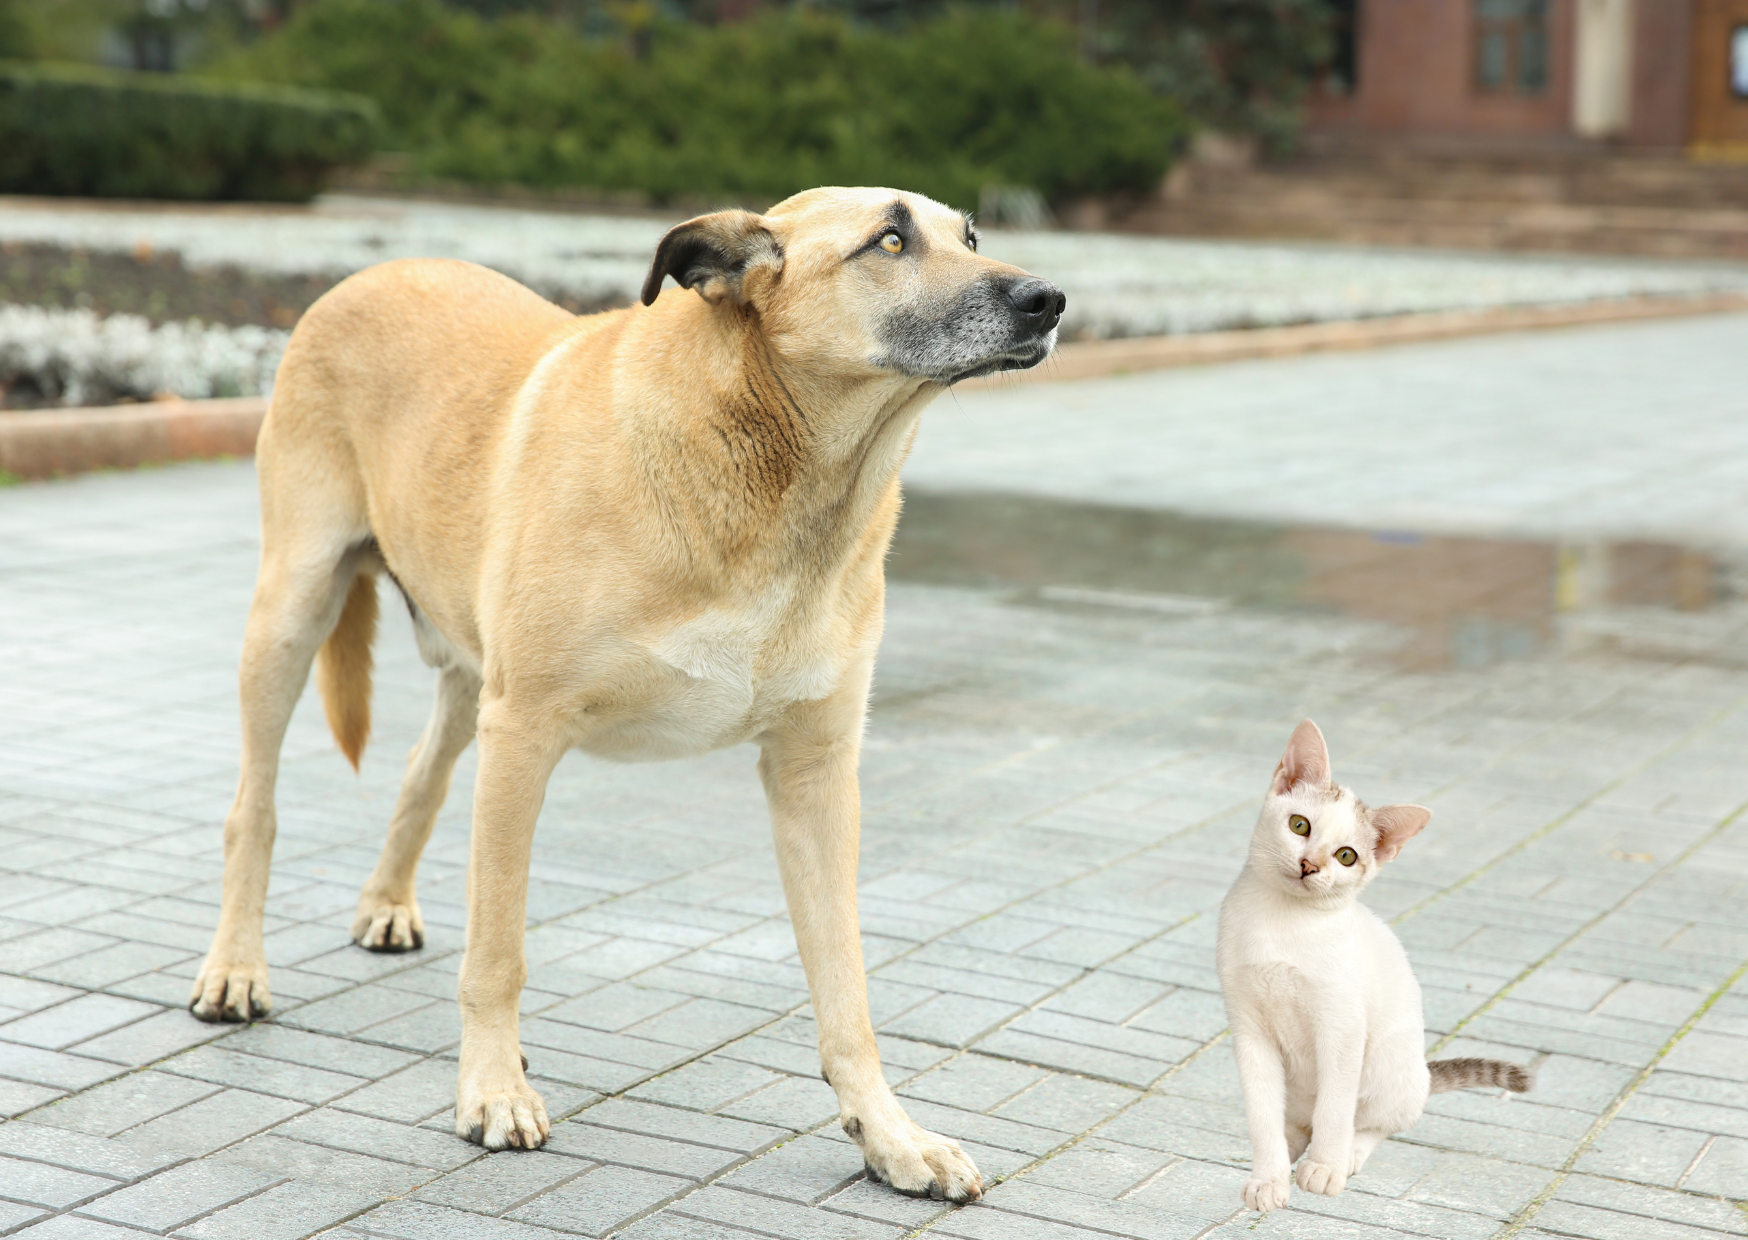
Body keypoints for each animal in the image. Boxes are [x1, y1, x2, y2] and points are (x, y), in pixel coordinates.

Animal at [191, 186, 1062, 1196]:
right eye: (889, 240)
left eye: (971, 236)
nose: (1049, 300)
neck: (781, 482)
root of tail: (376, 269)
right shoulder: (524, 733)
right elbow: (497, 951)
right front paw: (493, 1090)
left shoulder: (816, 772)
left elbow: (847, 987)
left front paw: (889, 1135)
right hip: (294, 611)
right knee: (252, 808)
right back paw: (235, 969)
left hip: (467, 676)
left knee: (420, 770)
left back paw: (385, 903)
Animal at [1216, 717, 1531, 1210]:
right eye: (1299, 825)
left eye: (1346, 856)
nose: (1309, 865)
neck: (1283, 925)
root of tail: (1422, 1073)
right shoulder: (1249, 1029)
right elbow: (1262, 1113)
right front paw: (1268, 1178)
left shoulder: (1342, 1025)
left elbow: (1336, 1108)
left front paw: (1325, 1168)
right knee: (1298, 1122)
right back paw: (1290, 1147)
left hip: (1390, 1066)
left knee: (1378, 1123)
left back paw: (1345, 1154)